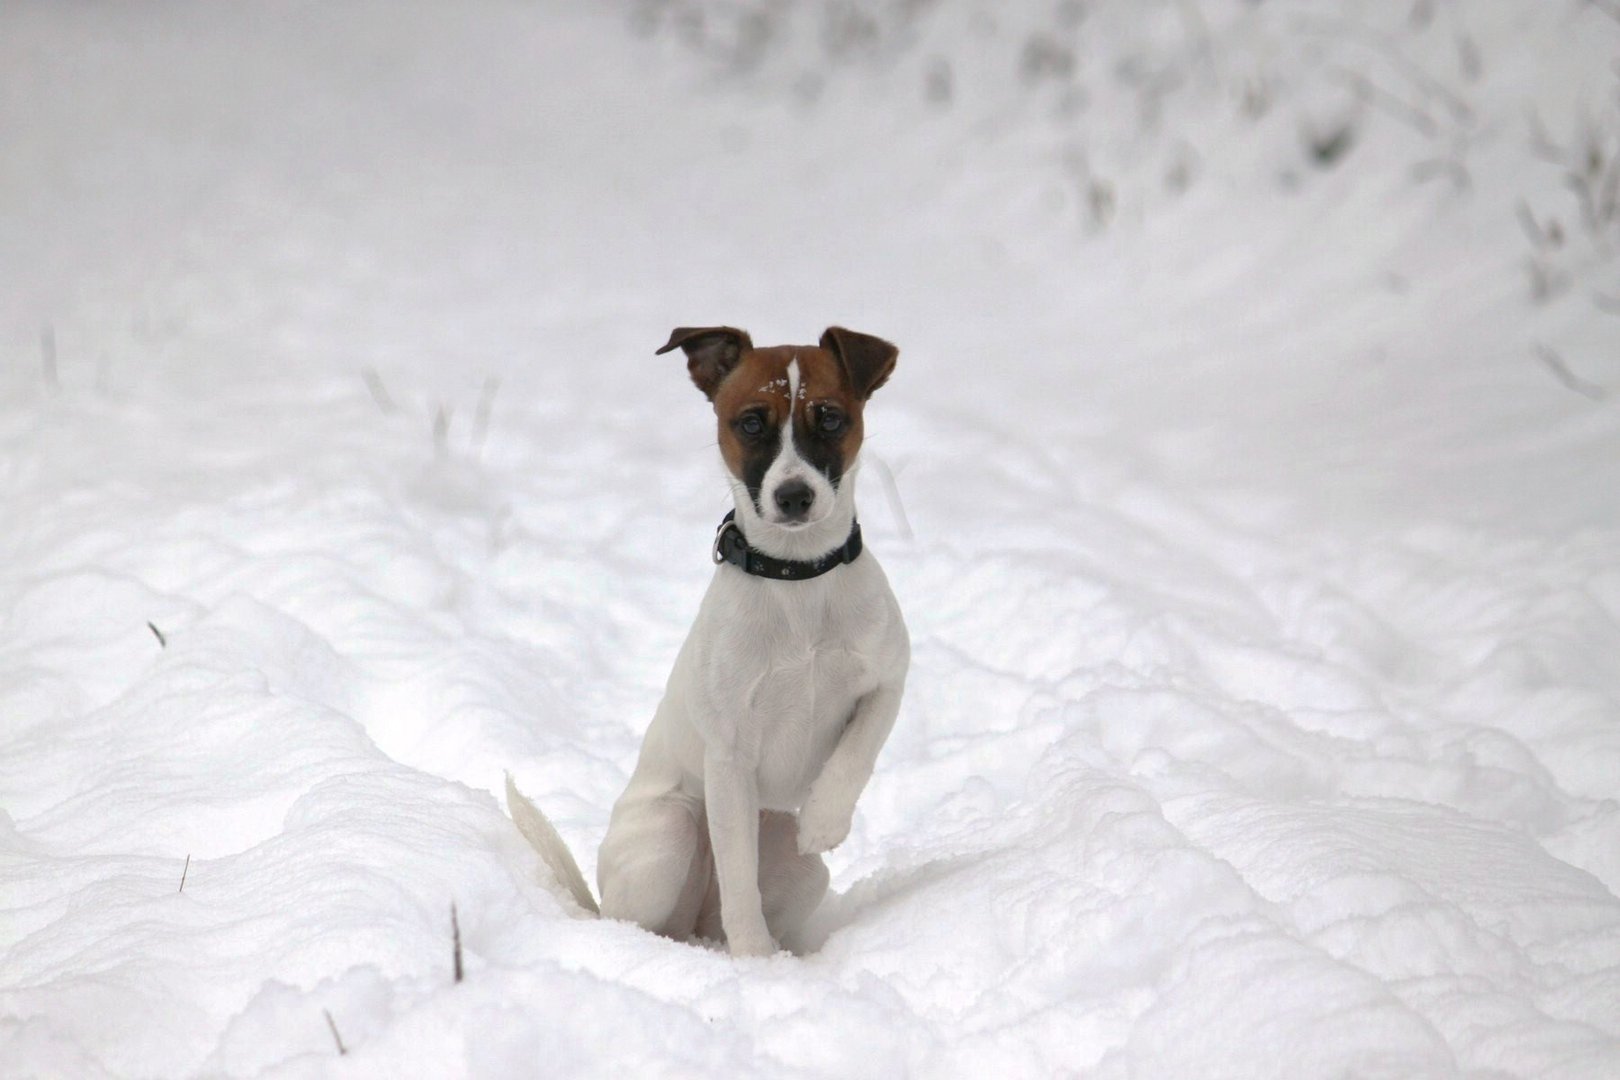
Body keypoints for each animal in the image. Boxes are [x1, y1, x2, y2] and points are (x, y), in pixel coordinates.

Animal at [505, 325, 913, 958]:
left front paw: (825, 819)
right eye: (750, 422)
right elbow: (740, 879)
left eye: (829, 417)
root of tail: (694, 927)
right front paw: (756, 960)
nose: (793, 496)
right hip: (669, 832)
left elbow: (857, 753)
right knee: (639, 917)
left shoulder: (888, 678)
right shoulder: (729, 758)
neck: (797, 580)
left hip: (798, 863)